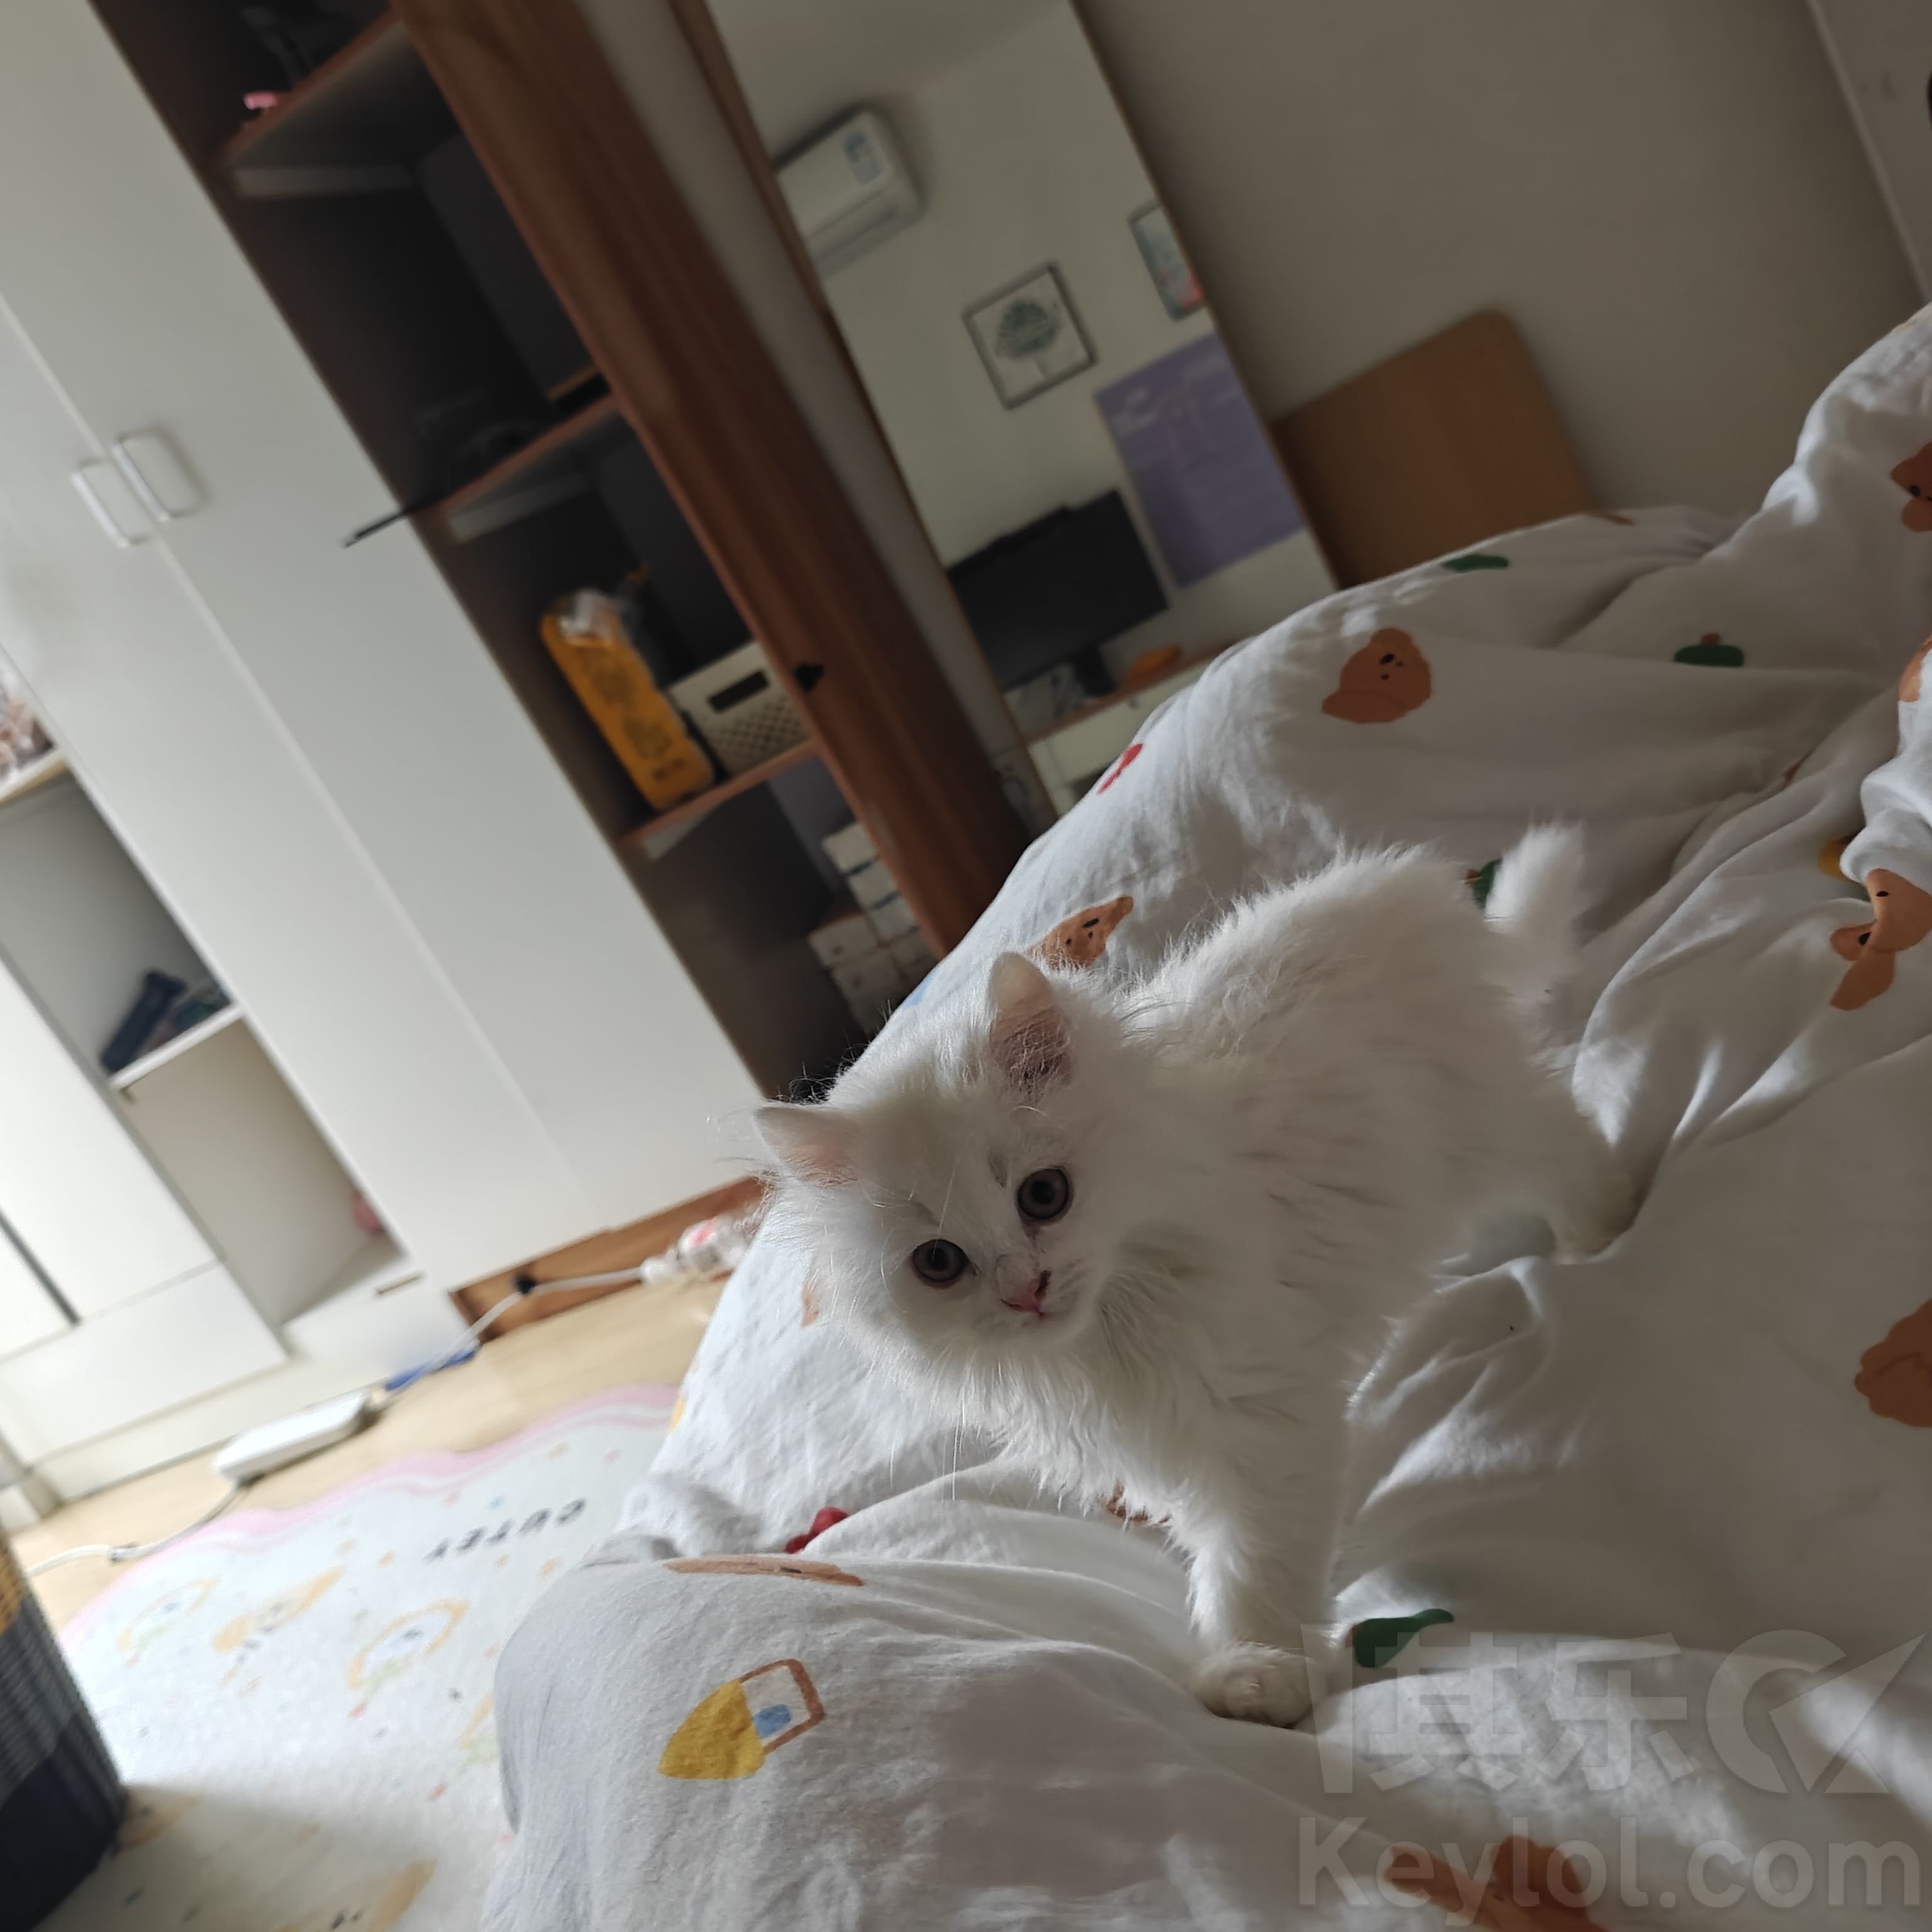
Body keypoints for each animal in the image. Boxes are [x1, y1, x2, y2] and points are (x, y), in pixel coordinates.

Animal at [756, 828, 1631, 1726]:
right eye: (939, 1264)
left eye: (1044, 1195)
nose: (1026, 1289)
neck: (1112, 1329)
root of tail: (1410, 894)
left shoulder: (1261, 1426)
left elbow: (1252, 1567)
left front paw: (1259, 1676)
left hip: (1485, 1125)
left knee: (1568, 1139)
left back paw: (1598, 1235)